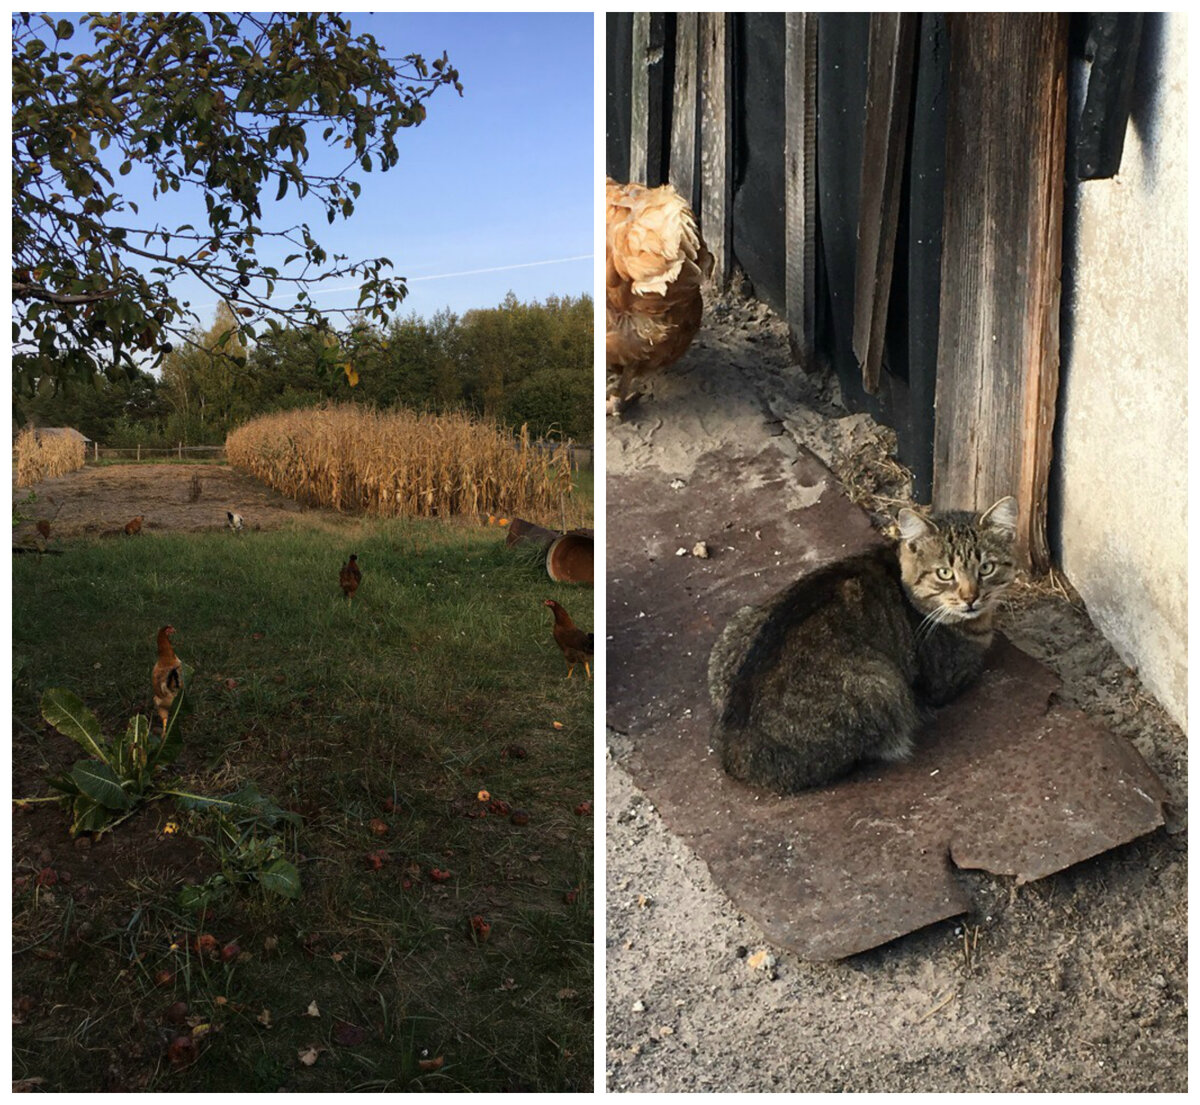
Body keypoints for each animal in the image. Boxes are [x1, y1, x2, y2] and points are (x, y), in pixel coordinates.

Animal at [705, 499, 1017, 791]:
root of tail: (734, 751)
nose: (970, 598)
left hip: (738, 623)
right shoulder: (948, 677)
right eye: (945, 573)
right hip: (882, 685)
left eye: (986, 568)